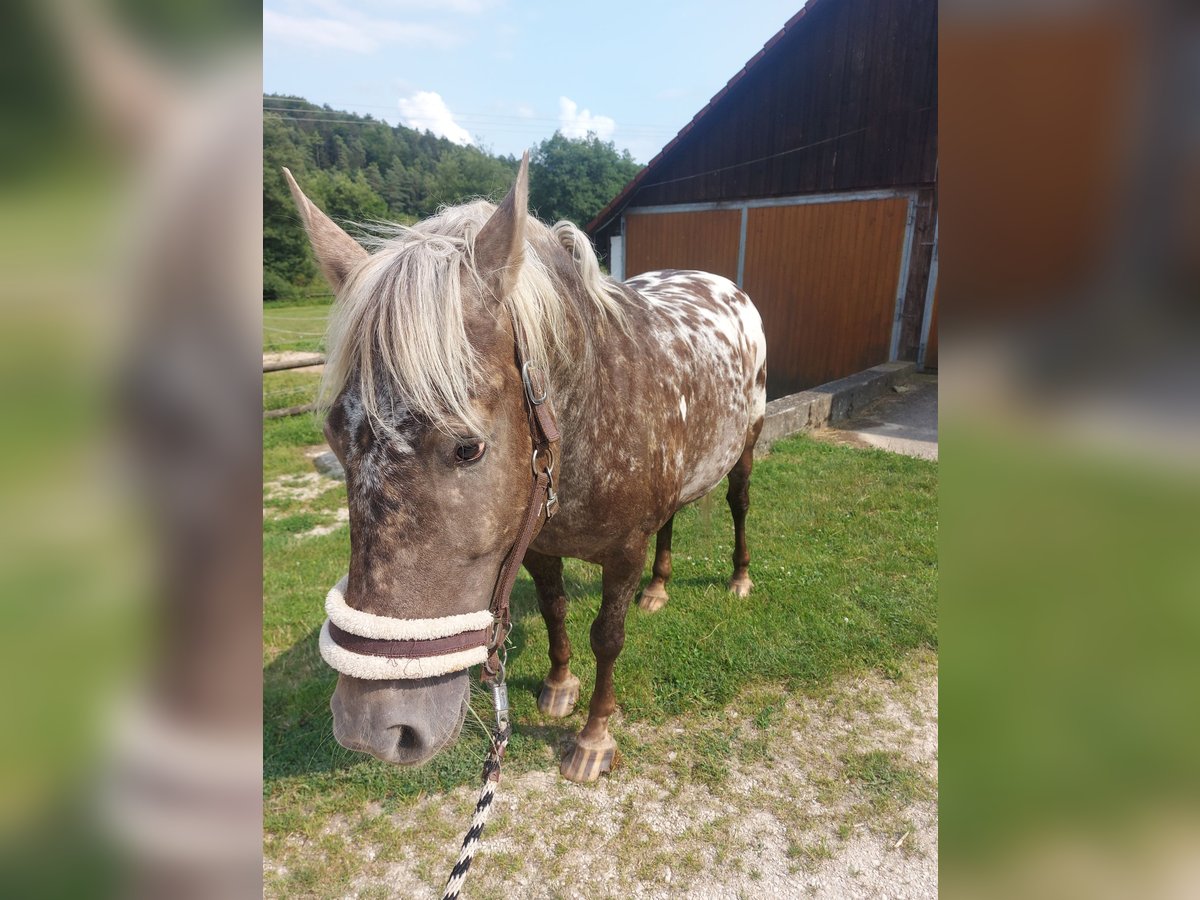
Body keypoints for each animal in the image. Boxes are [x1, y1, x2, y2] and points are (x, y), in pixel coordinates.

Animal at [285, 154, 763, 782]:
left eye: (468, 448)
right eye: (334, 438)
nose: (374, 728)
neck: (594, 417)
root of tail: (725, 285)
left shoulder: (624, 553)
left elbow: (607, 637)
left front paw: (593, 736)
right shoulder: (535, 546)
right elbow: (557, 610)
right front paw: (559, 687)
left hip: (746, 448)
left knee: (738, 504)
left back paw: (738, 578)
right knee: (671, 520)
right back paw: (658, 590)